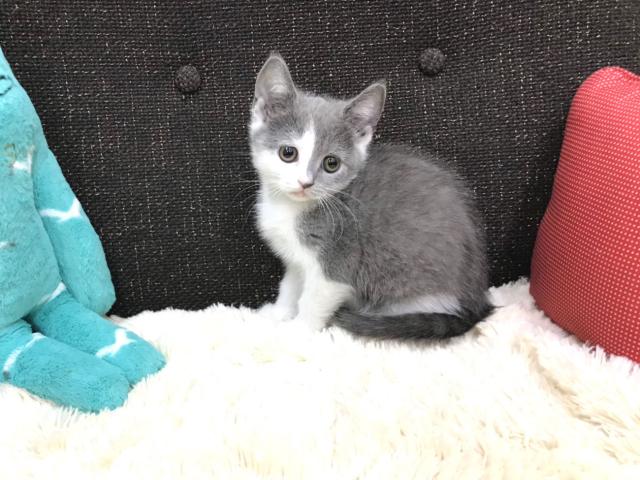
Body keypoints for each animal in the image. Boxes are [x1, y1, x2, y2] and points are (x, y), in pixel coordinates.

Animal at [249, 53, 493, 339]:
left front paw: (297, 330)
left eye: (331, 163)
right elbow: (290, 284)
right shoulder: (295, 258)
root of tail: (476, 301)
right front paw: (277, 314)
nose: (305, 183)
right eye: (288, 153)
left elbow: (314, 298)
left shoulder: (338, 259)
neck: (290, 207)